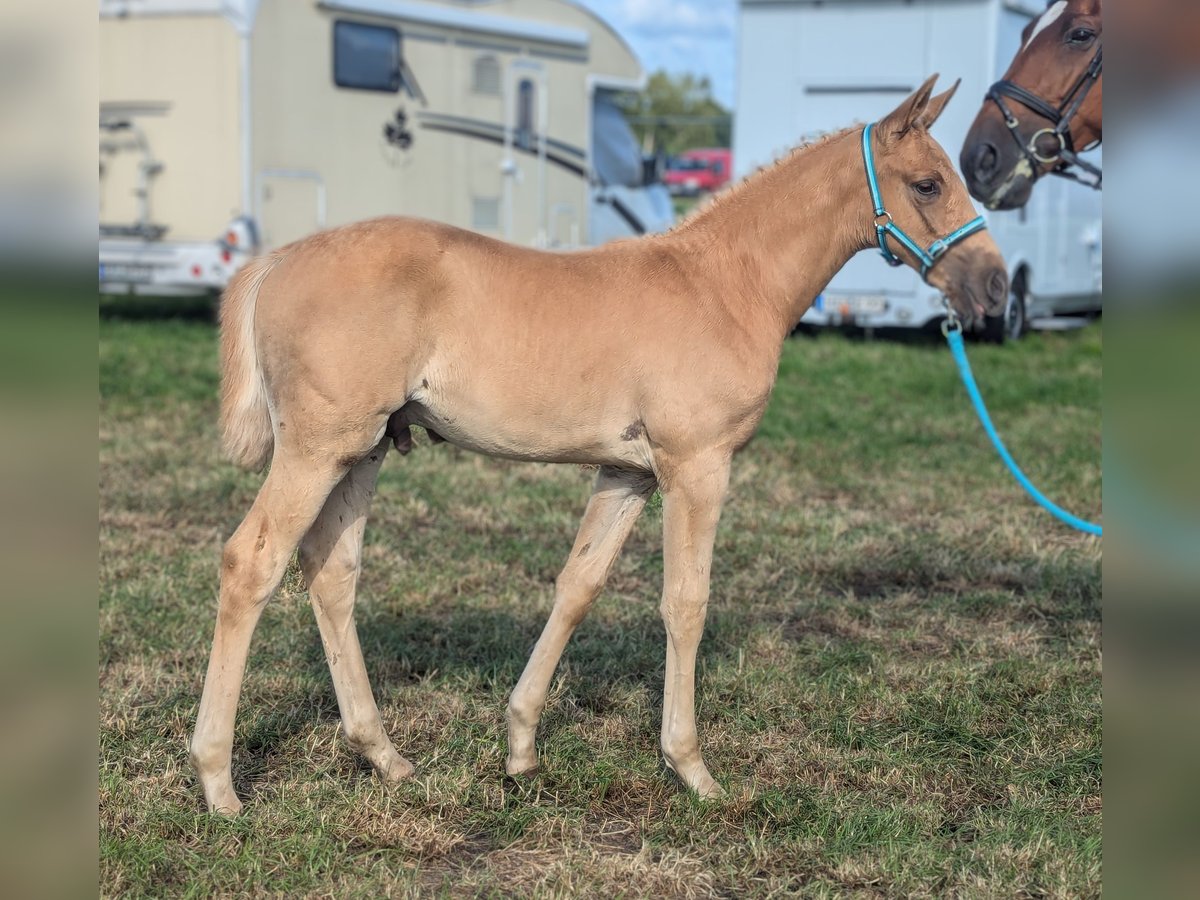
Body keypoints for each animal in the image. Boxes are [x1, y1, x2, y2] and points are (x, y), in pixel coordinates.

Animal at [192, 77, 1008, 816]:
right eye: (928, 183)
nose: (996, 288)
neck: (723, 284)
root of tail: (274, 261)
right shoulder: (697, 466)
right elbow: (686, 602)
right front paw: (692, 769)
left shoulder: (626, 472)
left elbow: (578, 585)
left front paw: (521, 746)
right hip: (318, 449)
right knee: (250, 561)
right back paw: (219, 782)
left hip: (362, 451)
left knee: (331, 572)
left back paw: (384, 755)